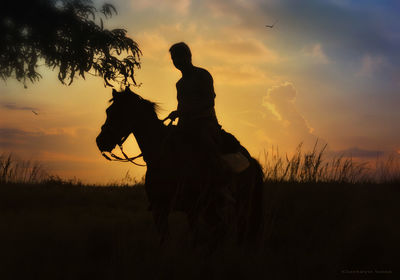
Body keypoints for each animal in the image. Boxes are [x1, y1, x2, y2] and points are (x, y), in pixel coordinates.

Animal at [96, 88, 266, 247]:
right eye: (108, 111)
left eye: (121, 111)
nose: (100, 141)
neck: (163, 156)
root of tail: (251, 159)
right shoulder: (160, 209)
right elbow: (164, 242)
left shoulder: (192, 209)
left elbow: (194, 241)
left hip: (240, 204)